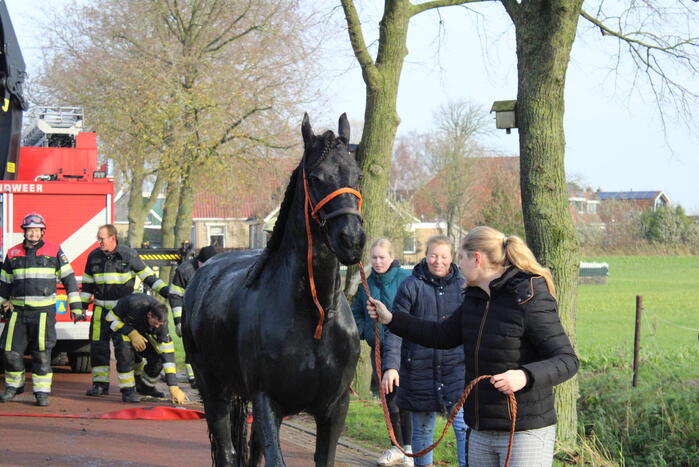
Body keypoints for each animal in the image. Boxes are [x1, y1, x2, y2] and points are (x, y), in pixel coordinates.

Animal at [182, 113, 366, 466]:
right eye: (316, 177)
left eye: (358, 175)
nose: (351, 239)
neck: (315, 314)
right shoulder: (268, 401)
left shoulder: (334, 408)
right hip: (213, 387)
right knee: (227, 452)